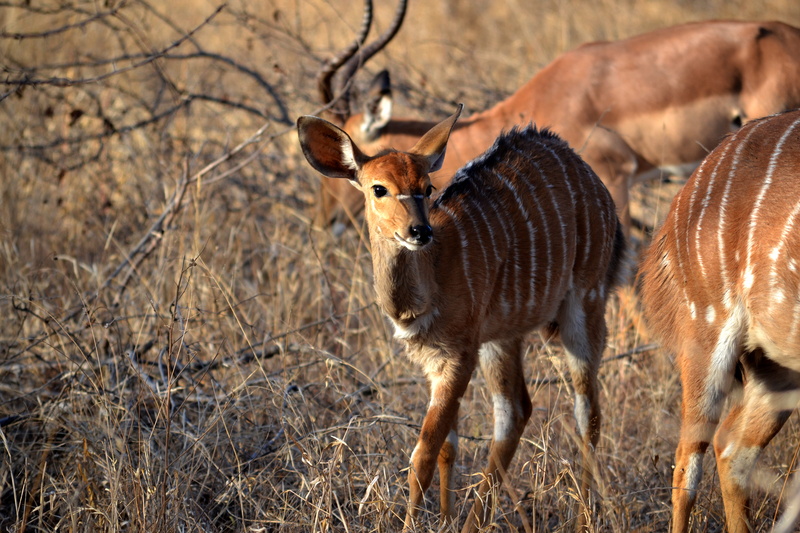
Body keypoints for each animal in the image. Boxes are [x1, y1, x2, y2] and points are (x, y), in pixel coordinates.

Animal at [297, 105, 626, 531]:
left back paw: (584, 517)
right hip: (503, 336)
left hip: (584, 305)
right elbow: (447, 447)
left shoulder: (458, 355)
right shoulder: (435, 361)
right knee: (515, 412)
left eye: (427, 188)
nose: (419, 231)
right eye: (378, 188)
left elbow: (422, 454)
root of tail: (592, 180)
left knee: (587, 414)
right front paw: (444, 519)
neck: (430, 278)